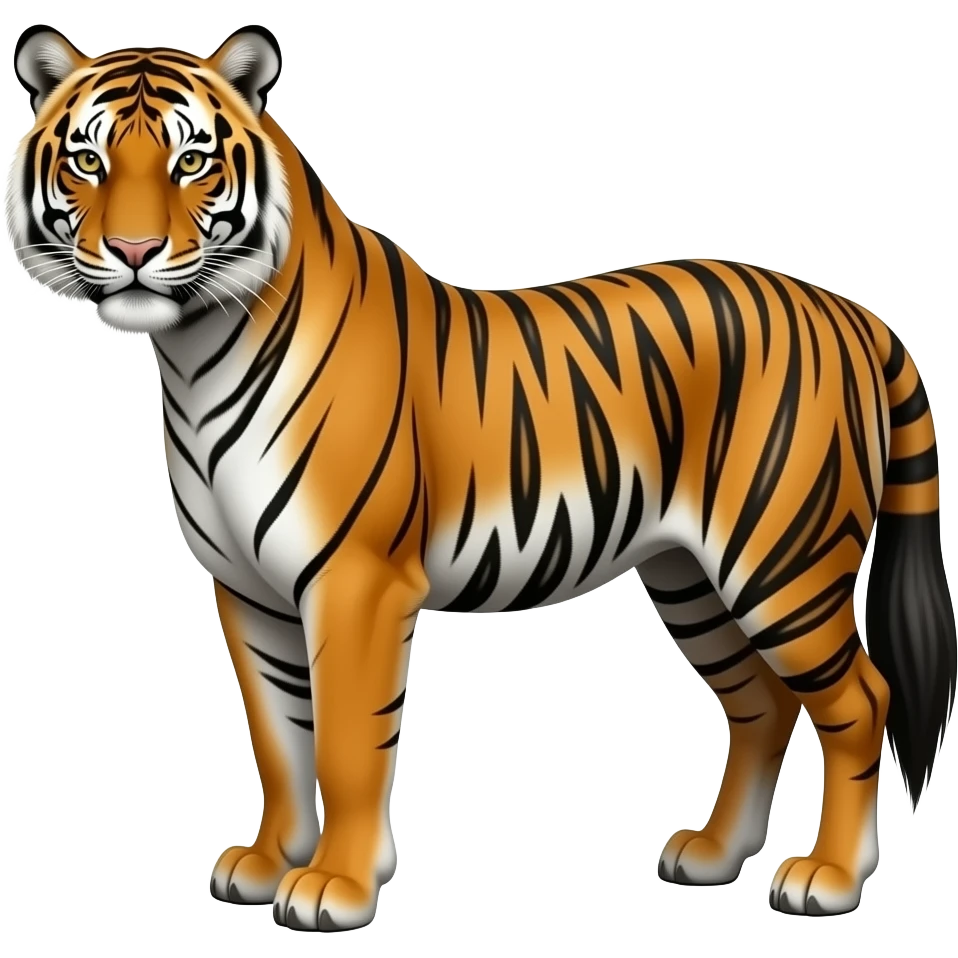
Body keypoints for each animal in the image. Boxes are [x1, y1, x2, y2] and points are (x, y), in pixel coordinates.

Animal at [6, 21, 956, 929]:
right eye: (87, 161)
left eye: (192, 161)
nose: (133, 249)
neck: (196, 353)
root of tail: (850, 310)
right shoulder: (246, 589)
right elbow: (278, 740)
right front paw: (270, 863)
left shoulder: (355, 584)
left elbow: (345, 745)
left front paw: (335, 889)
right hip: (690, 575)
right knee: (761, 704)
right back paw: (715, 855)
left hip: (781, 562)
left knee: (860, 700)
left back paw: (829, 879)